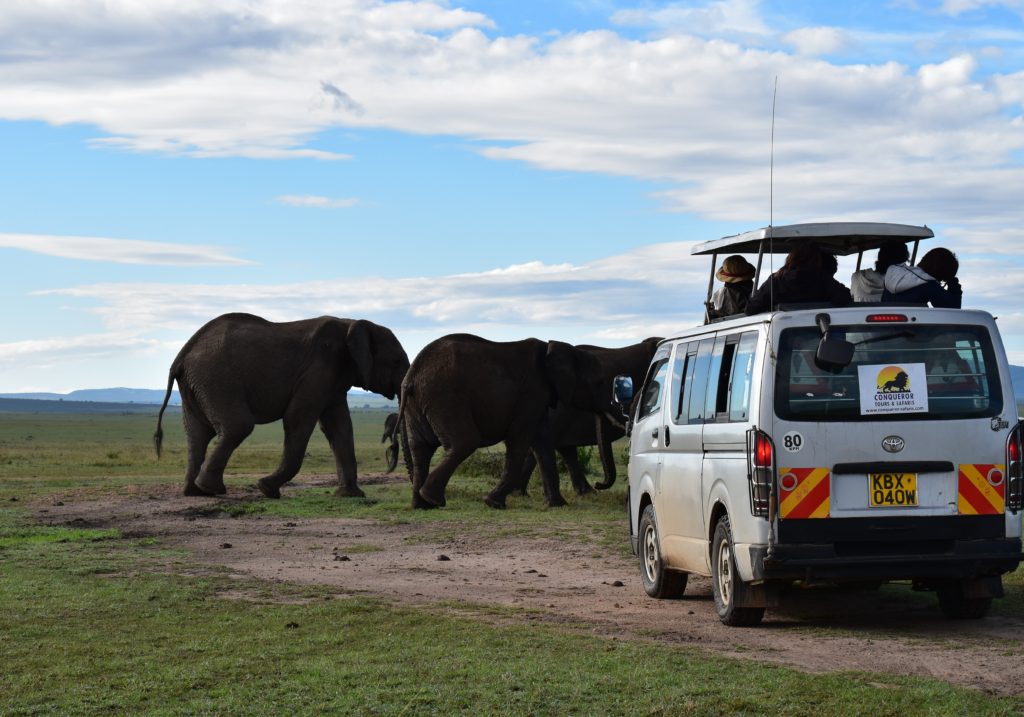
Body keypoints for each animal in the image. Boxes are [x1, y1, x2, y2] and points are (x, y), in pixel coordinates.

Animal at [151, 311, 407, 501]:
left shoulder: (333, 378)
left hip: (197, 384)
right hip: (216, 379)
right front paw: (267, 489)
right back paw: (211, 489)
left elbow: (340, 427)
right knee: (238, 426)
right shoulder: (318, 370)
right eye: (396, 361)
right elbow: (297, 418)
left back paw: (196, 492)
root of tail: (181, 356)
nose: (392, 450)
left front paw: (350, 495)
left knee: (198, 434)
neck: (351, 324)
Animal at [397, 333, 606, 510]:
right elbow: (519, 441)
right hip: (445, 397)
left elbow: (543, 443)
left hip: (421, 402)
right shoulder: (531, 393)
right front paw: (494, 503)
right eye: (599, 383)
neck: (553, 347)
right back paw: (433, 500)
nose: (599, 485)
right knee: (465, 442)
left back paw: (423, 505)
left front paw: (558, 505)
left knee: (421, 449)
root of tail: (411, 376)